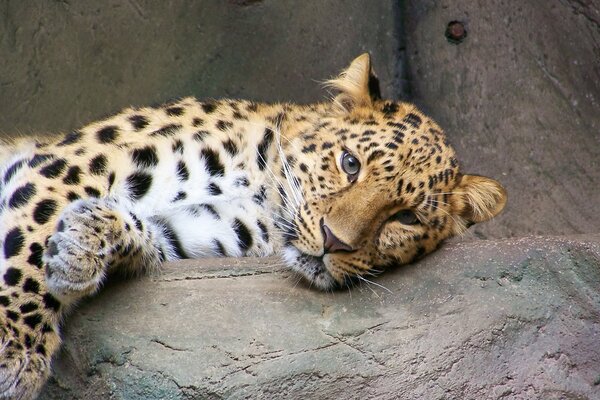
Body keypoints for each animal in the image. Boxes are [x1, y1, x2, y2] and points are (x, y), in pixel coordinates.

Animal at [0, 54, 506, 400]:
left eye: (406, 218)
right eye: (350, 163)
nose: (334, 242)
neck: (262, 188)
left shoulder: (200, 232)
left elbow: (142, 233)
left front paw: (84, 245)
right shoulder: (72, 165)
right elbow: (28, 239)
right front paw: (14, 353)